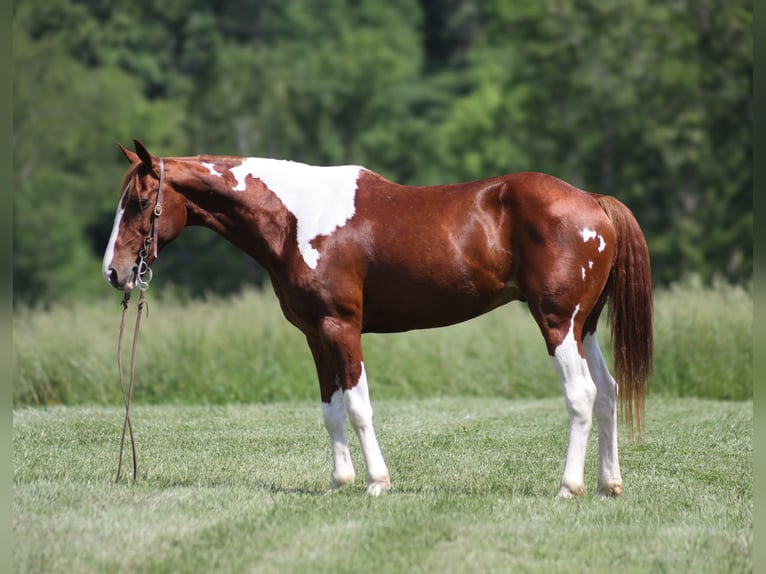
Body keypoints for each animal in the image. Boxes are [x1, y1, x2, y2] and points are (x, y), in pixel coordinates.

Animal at [103, 139, 652, 497]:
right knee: (608, 392)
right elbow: (331, 410)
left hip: (558, 323)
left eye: (139, 202)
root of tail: (592, 202)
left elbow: (360, 406)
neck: (297, 218)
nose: (115, 271)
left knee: (581, 395)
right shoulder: (315, 334)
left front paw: (376, 484)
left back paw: (569, 487)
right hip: (584, 328)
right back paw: (608, 485)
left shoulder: (341, 327)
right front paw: (339, 482)